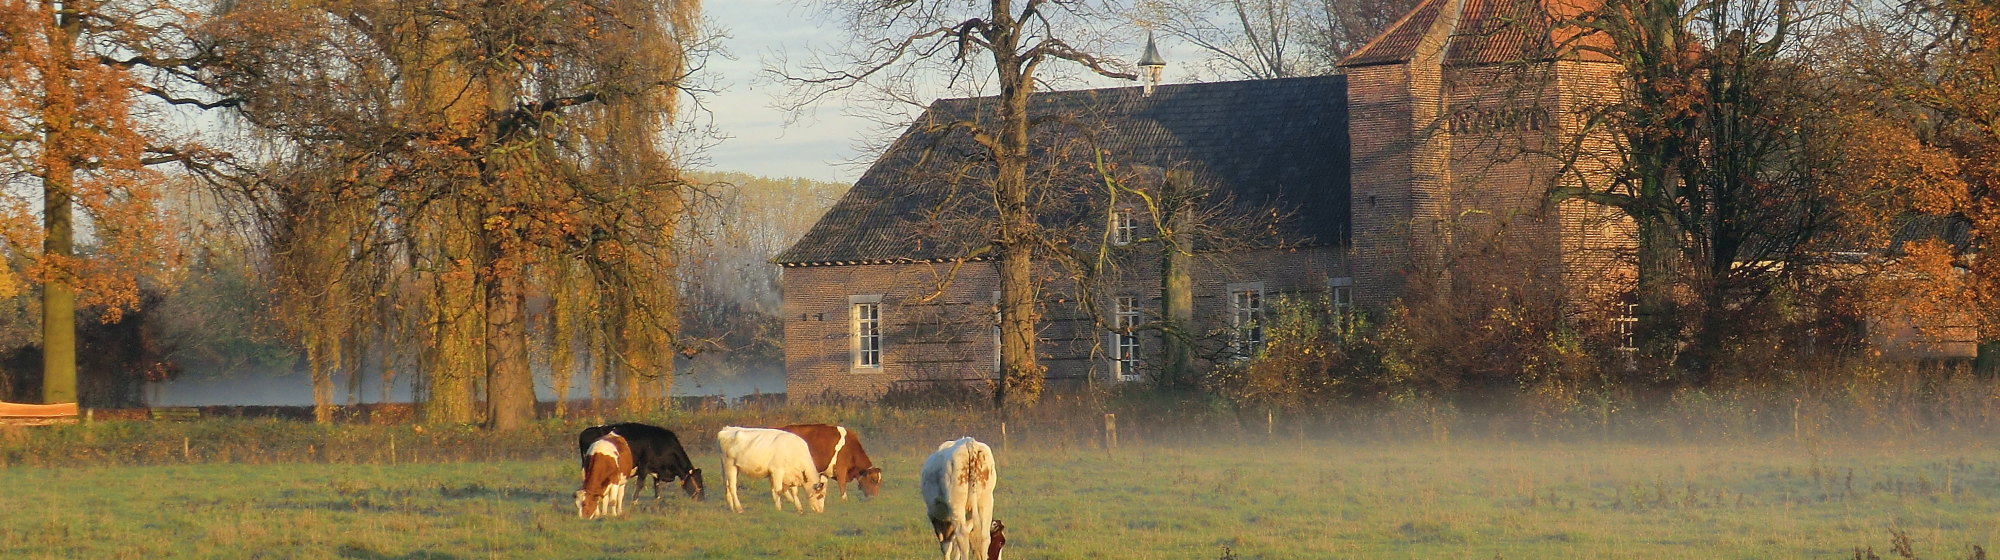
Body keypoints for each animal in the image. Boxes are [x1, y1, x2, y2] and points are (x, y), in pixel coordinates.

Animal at [577, 423, 705, 502]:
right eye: (698, 481)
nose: (702, 498)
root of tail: (585, 432)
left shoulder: (657, 470)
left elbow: (657, 488)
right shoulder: (644, 466)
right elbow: (640, 485)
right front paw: (634, 502)